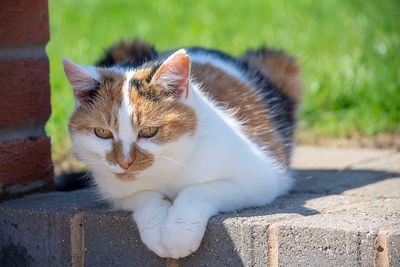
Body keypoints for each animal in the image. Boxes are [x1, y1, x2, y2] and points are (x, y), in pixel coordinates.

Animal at [62, 39, 302, 260]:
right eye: (102, 133)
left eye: (149, 131)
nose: (124, 162)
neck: (168, 170)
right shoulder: (116, 191)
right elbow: (145, 195)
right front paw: (156, 230)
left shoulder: (260, 178)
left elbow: (197, 190)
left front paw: (178, 233)